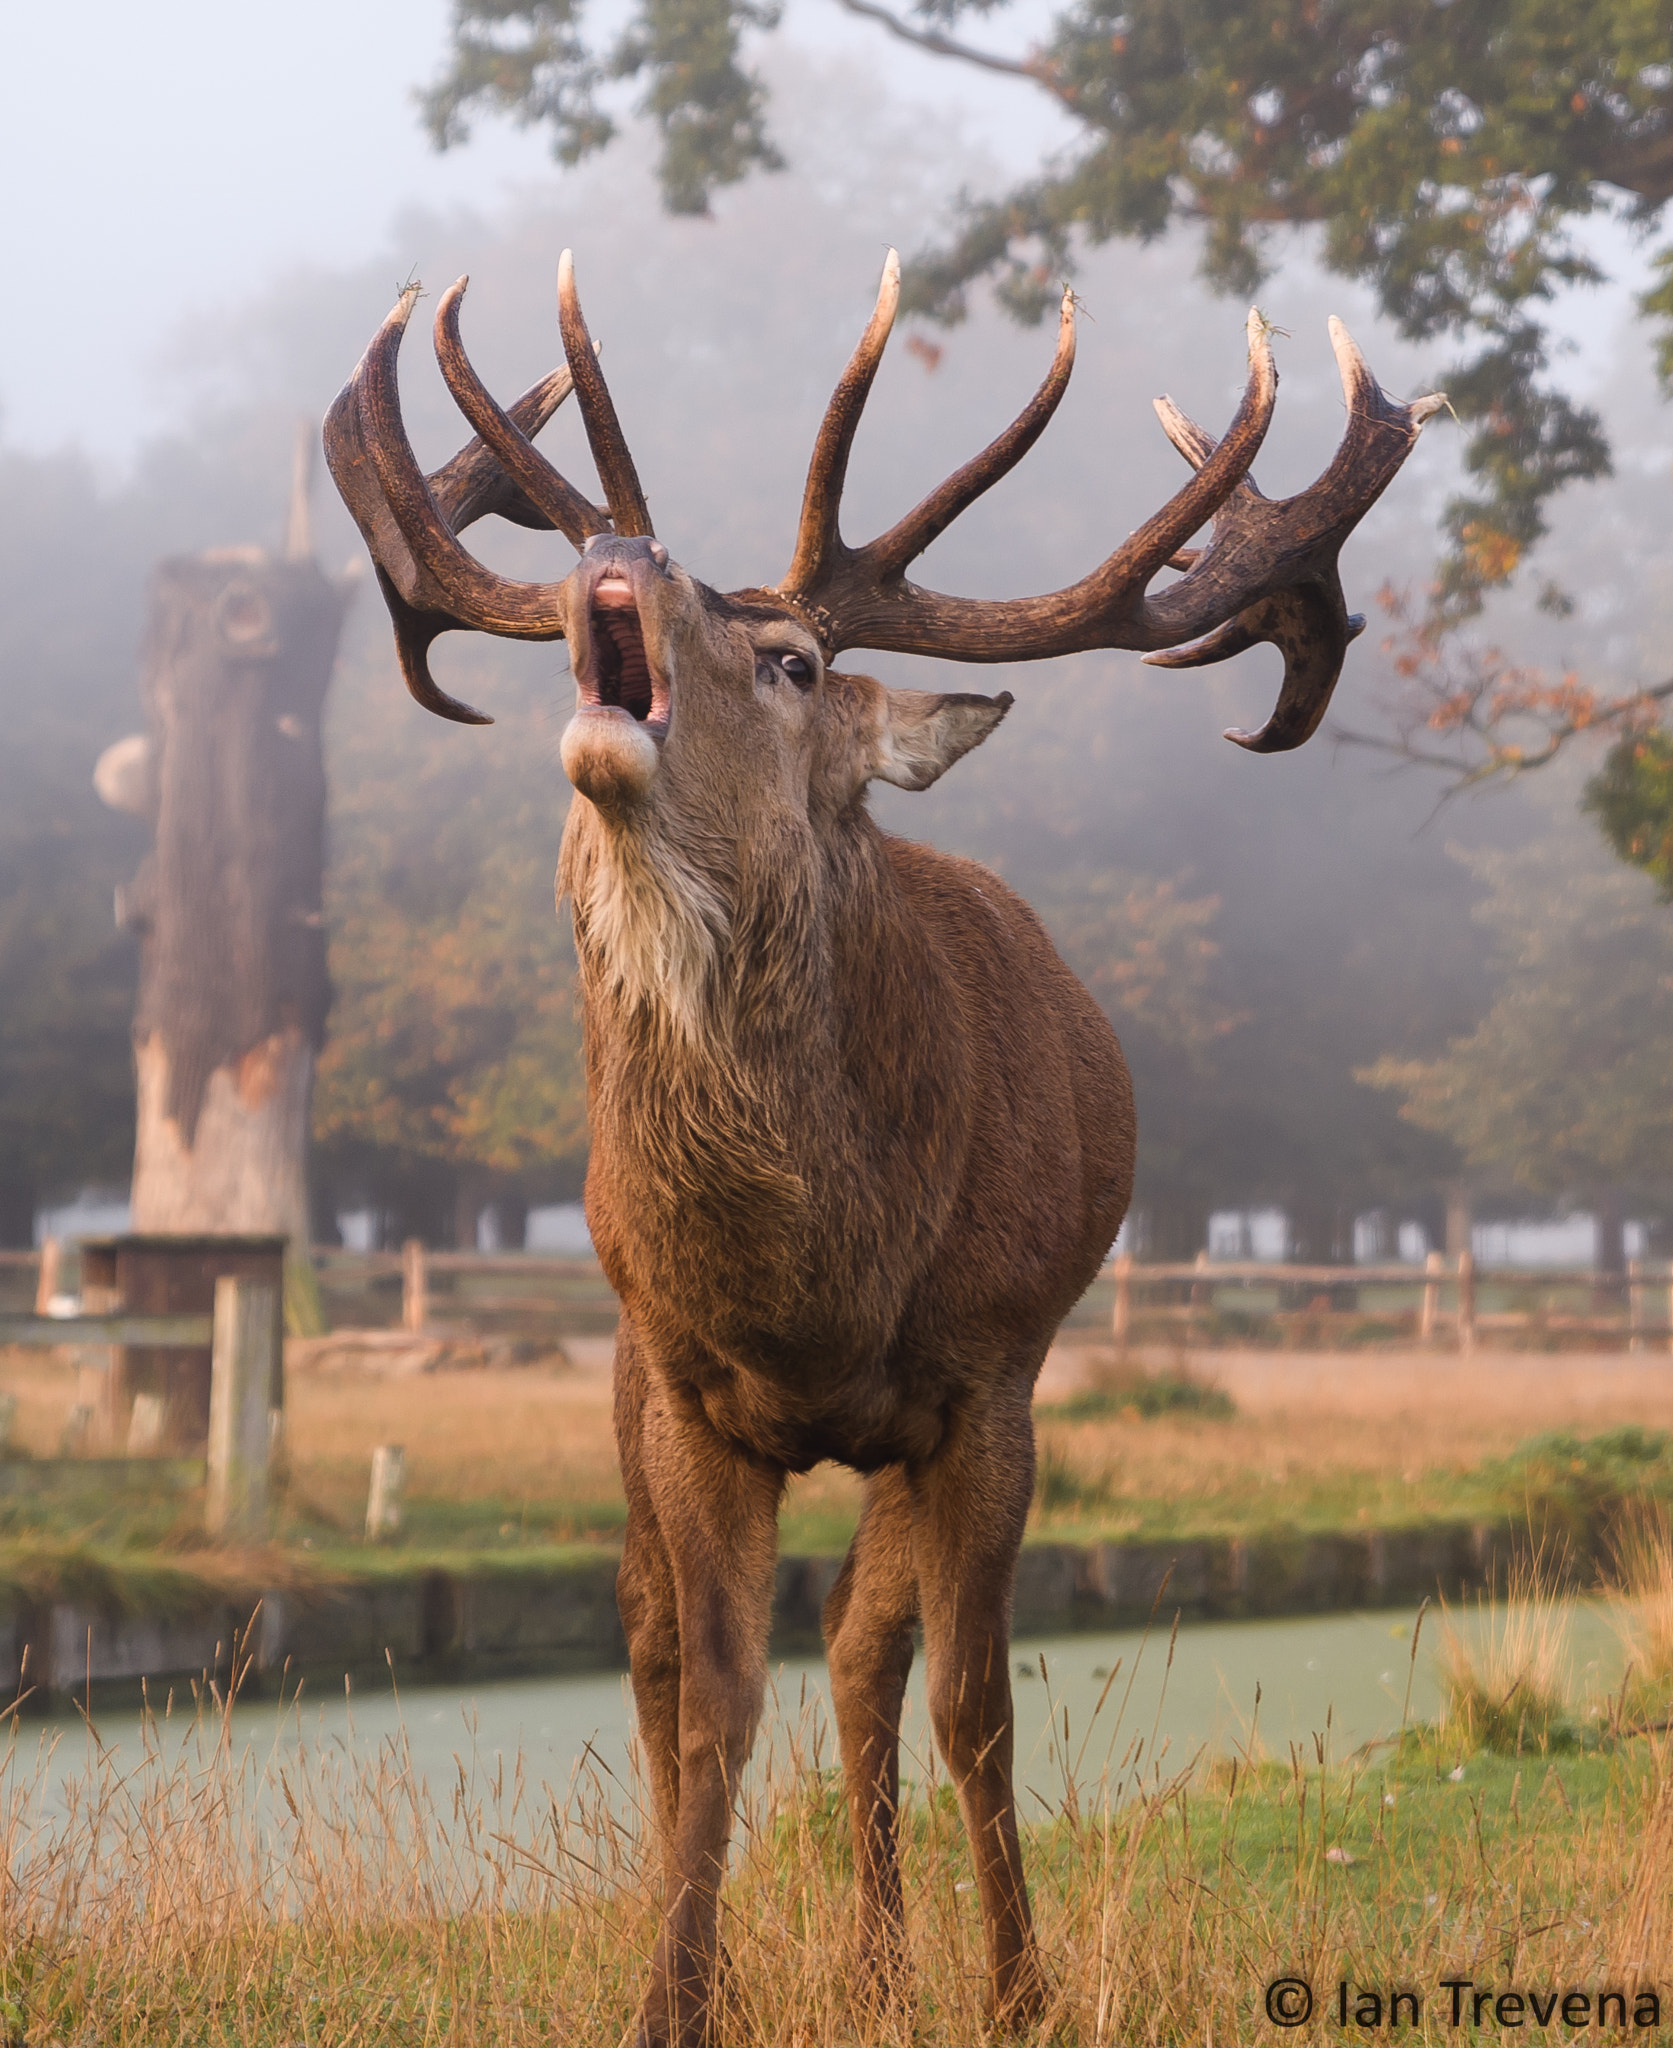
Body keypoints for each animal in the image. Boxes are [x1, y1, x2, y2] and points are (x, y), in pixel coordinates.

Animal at [325, 251, 1439, 2045]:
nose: (619, 552)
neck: (819, 1283)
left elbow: (972, 1699)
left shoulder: (989, 1377)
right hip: (622, 1373)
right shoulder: (688, 1384)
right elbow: (711, 1698)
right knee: (660, 1645)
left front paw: (1021, 1991)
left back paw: (881, 1961)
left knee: (863, 1650)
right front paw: (674, 1999)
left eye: (788, 659)